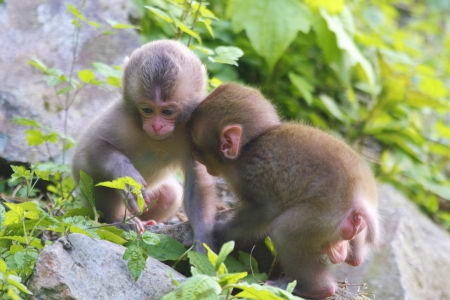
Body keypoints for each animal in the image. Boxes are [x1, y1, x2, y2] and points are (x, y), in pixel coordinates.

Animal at [72, 39, 216, 246]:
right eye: (147, 110)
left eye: (167, 112)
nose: (156, 125)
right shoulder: (120, 116)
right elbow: (91, 147)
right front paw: (125, 174)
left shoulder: (196, 130)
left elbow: (196, 183)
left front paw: (203, 238)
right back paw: (119, 221)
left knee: (171, 194)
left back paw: (144, 222)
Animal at [187, 81, 380, 298]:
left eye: (196, 145)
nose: (193, 154)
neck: (250, 146)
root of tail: (358, 198)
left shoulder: (251, 173)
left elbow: (265, 210)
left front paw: (219, 231)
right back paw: (346, 254)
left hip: (323, 218)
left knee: (283, 231)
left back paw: (317, 288)